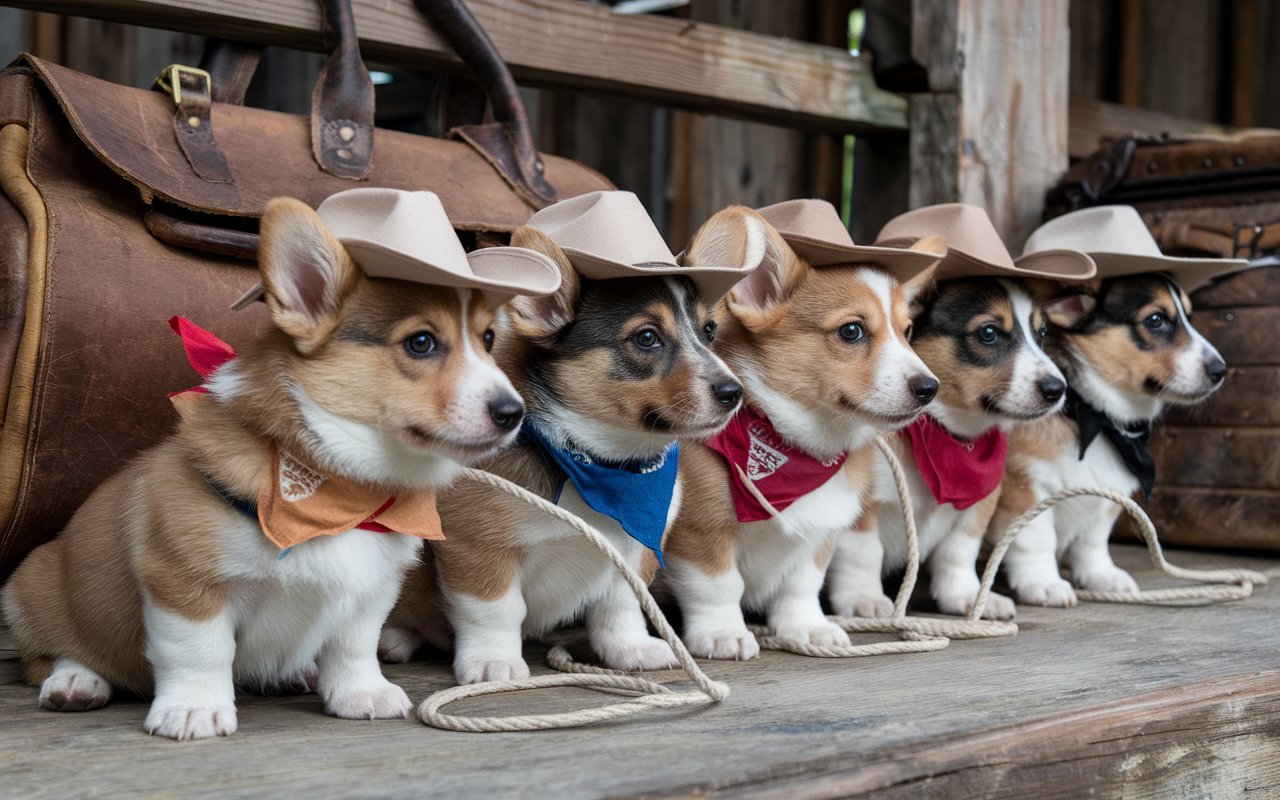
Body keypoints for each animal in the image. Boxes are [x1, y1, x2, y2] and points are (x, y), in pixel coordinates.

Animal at [3, 186, 560, 737]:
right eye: (421, 342)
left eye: (488, 340)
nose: (513, 414)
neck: (340, 492)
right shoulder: (182, 580)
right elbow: (199, 651)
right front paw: (193, 709)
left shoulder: (368, 593)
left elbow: (353, 647)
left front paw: (361, 694)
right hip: (35, 590)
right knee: (51, 653)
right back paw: (76, 682)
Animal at [378, 192, 757, 680]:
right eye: (647, 337)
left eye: (709, 331)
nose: (733, 393)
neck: (601, 461)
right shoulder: (477, 547)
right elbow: (494, 611)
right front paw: (494, 662)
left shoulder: (629, 555)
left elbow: (620, 606)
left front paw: (630, 650)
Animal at [660, 198, 942, 655]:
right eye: (852, 331)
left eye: (908, 331)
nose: (930, 388)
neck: (795, 445)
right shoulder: (699, 531)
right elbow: (718, 586)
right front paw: (723, 634)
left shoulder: (820, 532)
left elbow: (801, 585)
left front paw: (806, 628)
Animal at [988, 206, 1239, 604]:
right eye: (1156, 320)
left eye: (1189, 316)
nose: (1221, 371)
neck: (1091, 412)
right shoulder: (1024, 485)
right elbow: (1035, 538)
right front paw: (1043, 583)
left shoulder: (1108, 493)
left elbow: (1093, 541)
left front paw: (1101, 578)